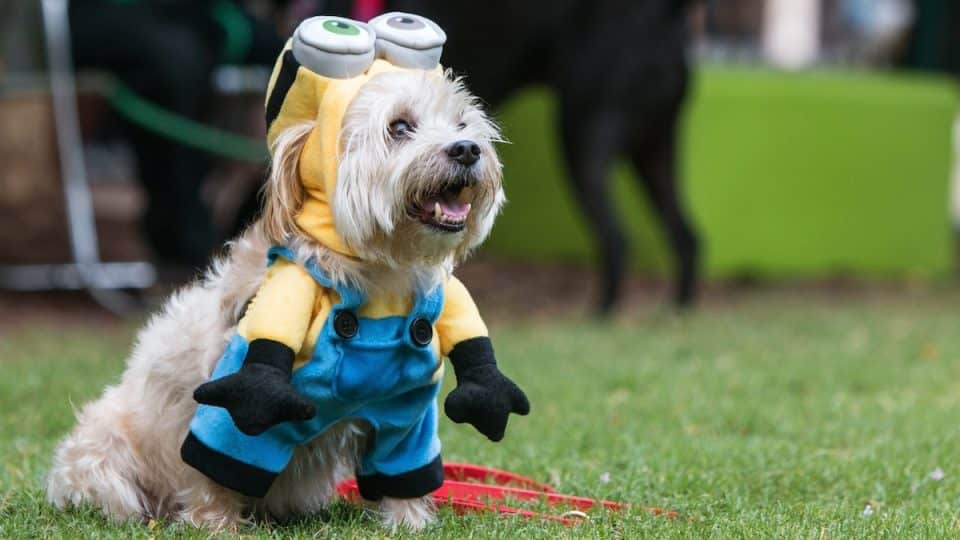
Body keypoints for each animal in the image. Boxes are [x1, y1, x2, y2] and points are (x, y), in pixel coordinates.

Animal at [386, 0, 700, 312]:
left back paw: (600, 314)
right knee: (686, 237)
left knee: (617, 239)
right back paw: (678, 309)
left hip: (584, 136)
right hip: (655, 150)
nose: (466, 150)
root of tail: (667, 10)